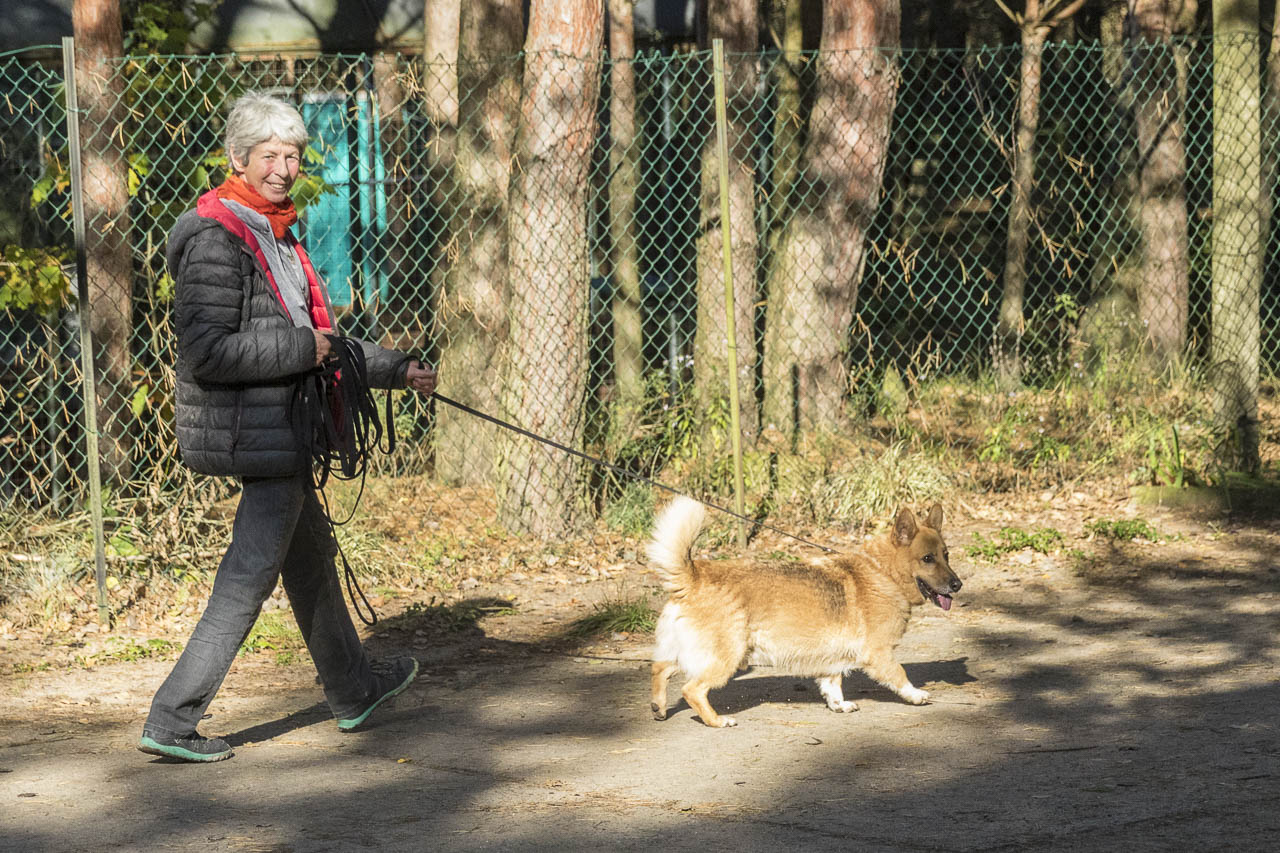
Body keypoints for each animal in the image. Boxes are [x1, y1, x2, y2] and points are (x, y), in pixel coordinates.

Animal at [650, 494, 962, 727]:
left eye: (946, 555)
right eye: (927, 558)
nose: (958, 585)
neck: (883, 573)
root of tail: (693, 575)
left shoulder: (832, 657)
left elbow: (833, 683)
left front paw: (839, 705)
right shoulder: (879, 653)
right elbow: (899, 674)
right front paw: (916, 695)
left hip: (693, 652)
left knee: (660, 668)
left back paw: (659, 707)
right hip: (727, 657)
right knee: (692, 690)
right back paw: (716, 720)